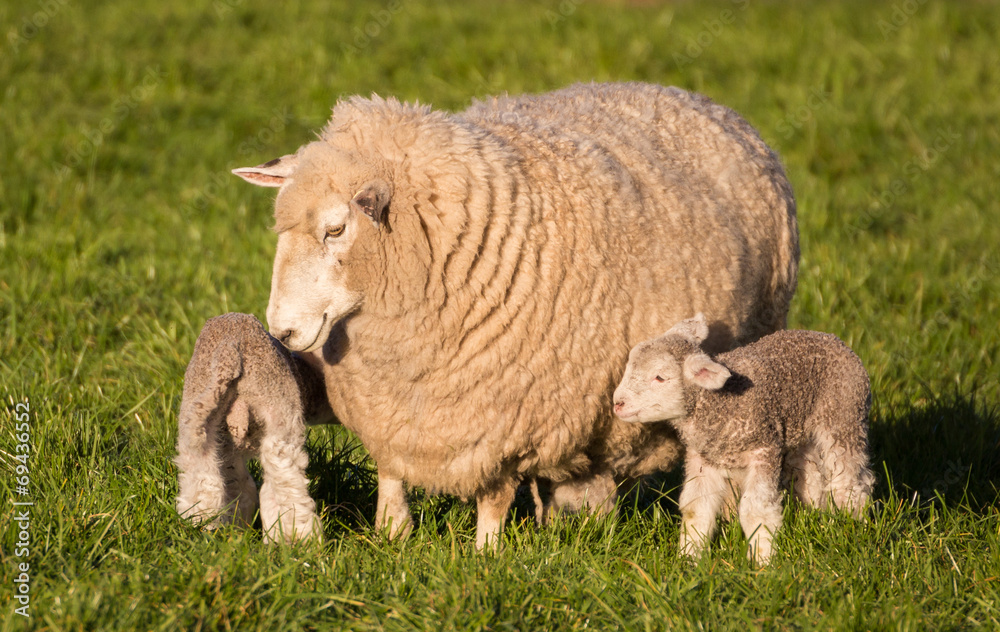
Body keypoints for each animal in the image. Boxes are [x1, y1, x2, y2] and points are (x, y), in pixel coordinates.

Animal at [174, 312, 333, 543]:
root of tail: (229, 347)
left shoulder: (227, 450)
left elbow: (240, 490)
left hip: (195, 422)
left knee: (203, 480)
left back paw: (201, 527)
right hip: (278, 412)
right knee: (284, 482)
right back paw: (299, 539)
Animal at [231, 82, 800, 549]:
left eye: (335, 229)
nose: (282, 329)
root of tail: (702, 101)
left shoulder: (506, 415)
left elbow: (494, 496)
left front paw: (486, 555)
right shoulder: (388, 406)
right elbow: (391, 473)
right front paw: (391, 535)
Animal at [613, 314, 875, 565]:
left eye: (659, 378)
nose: (617, 403)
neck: (718, 404)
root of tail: (832, 338)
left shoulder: (764, 450)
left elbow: (755, 511)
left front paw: (763, 561)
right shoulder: (703, 459)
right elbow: (696, 508)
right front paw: (689, 559)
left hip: (843, 415)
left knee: (849, 481)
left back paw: (853, 524)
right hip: (801, 431)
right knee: (811, 476)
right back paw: (816, 514)